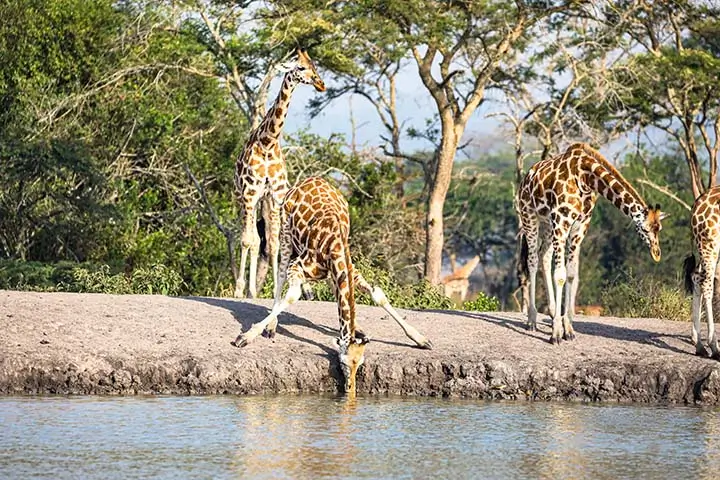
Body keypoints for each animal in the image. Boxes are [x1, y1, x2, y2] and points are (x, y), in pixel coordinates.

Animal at [232, 176, 434, 394]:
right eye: (344, 362)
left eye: (360, 363)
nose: (350, 388)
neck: (334, 245)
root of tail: (307, 180)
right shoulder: (299, 265)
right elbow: (292, 294)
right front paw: (245, 336)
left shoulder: (349, 268)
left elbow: (377, 295)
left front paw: (421, 339)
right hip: (285, 233)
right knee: (280, 271)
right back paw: (271, 326)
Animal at [233, 47, 326, 296]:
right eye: (301, 67)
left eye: (314, 65)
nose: (321, 84)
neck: (268, 142)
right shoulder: (250, 193)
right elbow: (247, 240)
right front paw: (239, 291)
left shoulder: (275, 196)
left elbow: (274, 244)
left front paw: (276, 288)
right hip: (243, 199)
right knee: (249, 238)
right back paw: (245, 290)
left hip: (262, 200)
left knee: (262, 240)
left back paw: (253, 290)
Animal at [516, 142, 668, 344]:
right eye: (644, 229)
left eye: (659, 229)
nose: (657, 254)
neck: (585, 177)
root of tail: (527, 175)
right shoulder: (562, 221)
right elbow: (560, 275)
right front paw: (556, 333)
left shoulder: (580, 226)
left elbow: (572, 275)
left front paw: (568, 329)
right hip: (529, 216)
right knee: (532, 261)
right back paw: (531, 320)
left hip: (548, 224)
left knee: (544, 256)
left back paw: (551, 311)